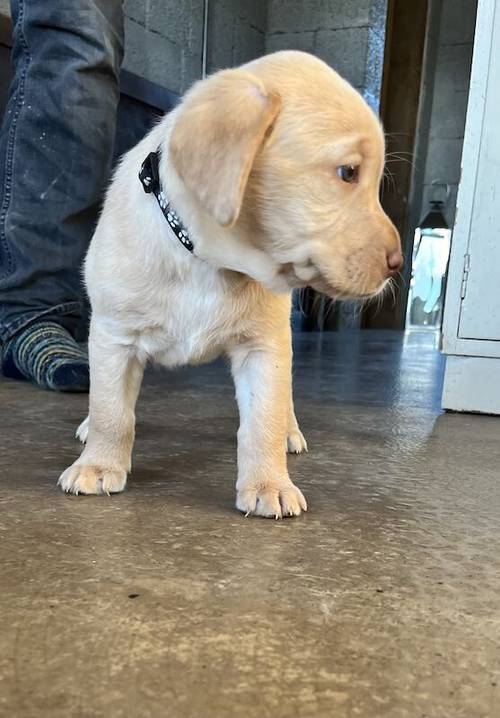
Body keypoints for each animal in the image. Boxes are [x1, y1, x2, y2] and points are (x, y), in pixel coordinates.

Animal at [58, 53, 402, 520]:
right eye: (348, 172)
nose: (398, 264)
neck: (205, 259)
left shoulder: (264, 346)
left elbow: (262, 420)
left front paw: (270, 483)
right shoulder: (115, 334)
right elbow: (112, 408)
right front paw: (97, 464)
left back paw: (290, 432)